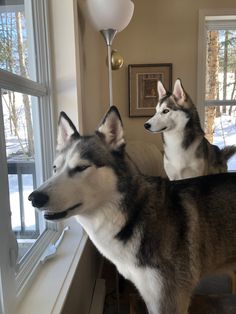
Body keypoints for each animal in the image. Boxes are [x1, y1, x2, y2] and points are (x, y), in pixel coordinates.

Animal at [29, 106, 236, 312]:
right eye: (55, 168)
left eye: (82, 167)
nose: (34, 198)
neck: (132, 217)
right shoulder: (151, 298)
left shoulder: (169, 301)